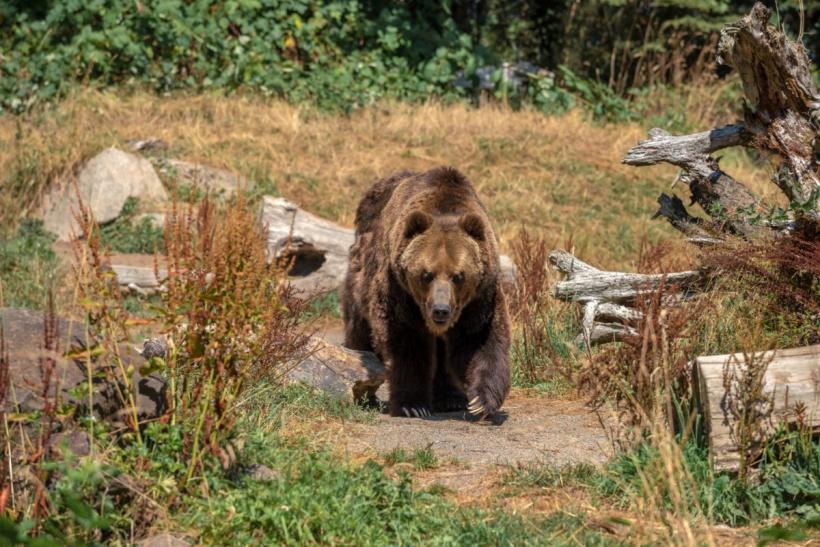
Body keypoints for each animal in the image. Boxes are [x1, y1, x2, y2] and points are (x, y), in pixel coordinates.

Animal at [342, 167, 510, 420]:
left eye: (458, 276)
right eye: (426, 274)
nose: (440, 310)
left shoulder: (479, 299)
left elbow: (480, 339)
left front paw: (480, 400)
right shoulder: (399, 291)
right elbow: (406, 342)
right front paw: (412, 404)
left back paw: (451, 398)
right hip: (362, 274)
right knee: (360, 329)